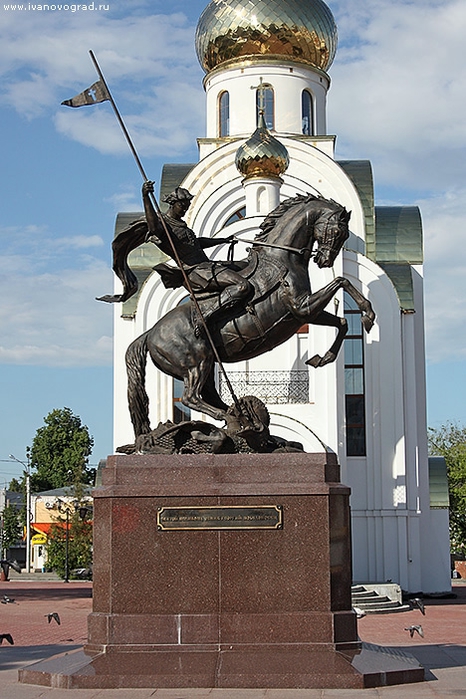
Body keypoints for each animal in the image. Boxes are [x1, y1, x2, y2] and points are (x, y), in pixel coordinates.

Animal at [126, 194, 374, 438]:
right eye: (337, 232)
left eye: (345, 235)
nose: (325, 261)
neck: (283, 258)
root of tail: (150, 334)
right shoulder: (301, 307)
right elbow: (342, 281)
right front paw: (368, 315)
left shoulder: (304, 314)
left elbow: (342, 321)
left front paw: (323, 357)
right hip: (196, 363)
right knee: (191, 397)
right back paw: (230, 417)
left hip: (206, 364)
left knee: (209, 396)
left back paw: (242, 417)